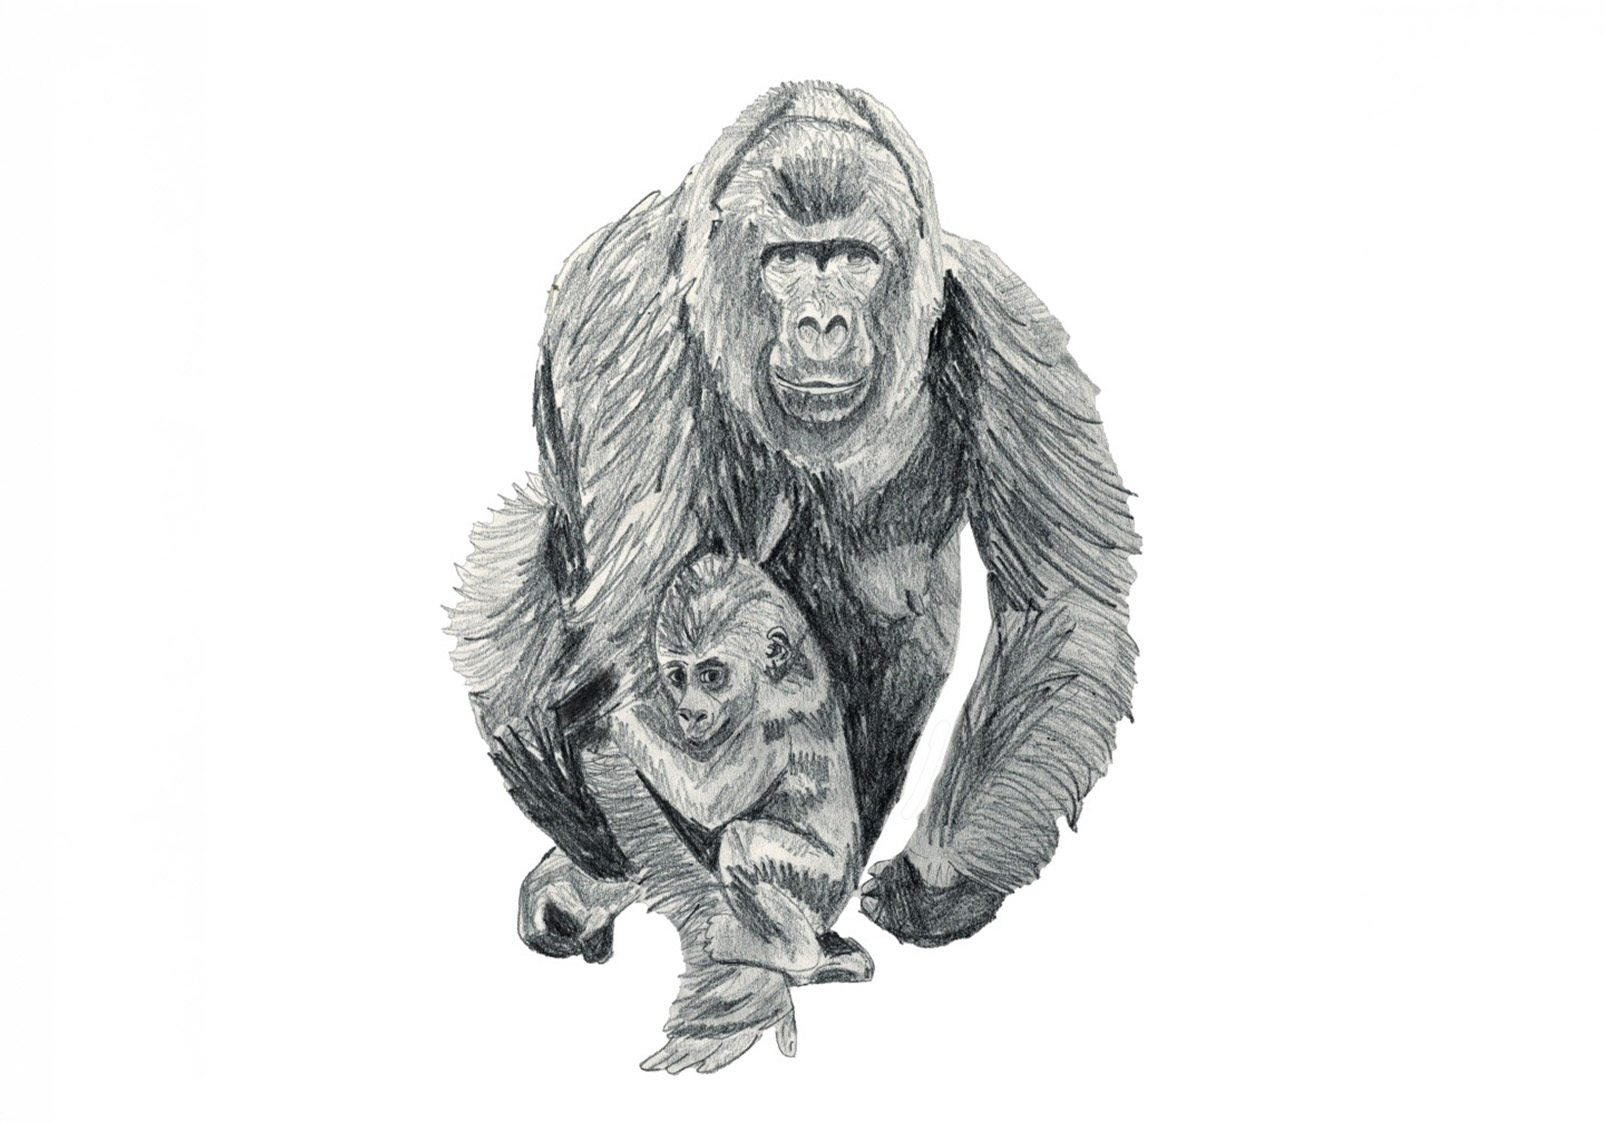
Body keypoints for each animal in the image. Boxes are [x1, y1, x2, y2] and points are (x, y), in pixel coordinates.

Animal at [608, 554, 872, 986]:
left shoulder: (770, 724)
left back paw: (793, 954)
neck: (780, 675)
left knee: (742, 839)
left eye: (712, 675)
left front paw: (612, 716)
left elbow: (709, 804)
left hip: (820, 887)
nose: (690, 712)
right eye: (678, 677)